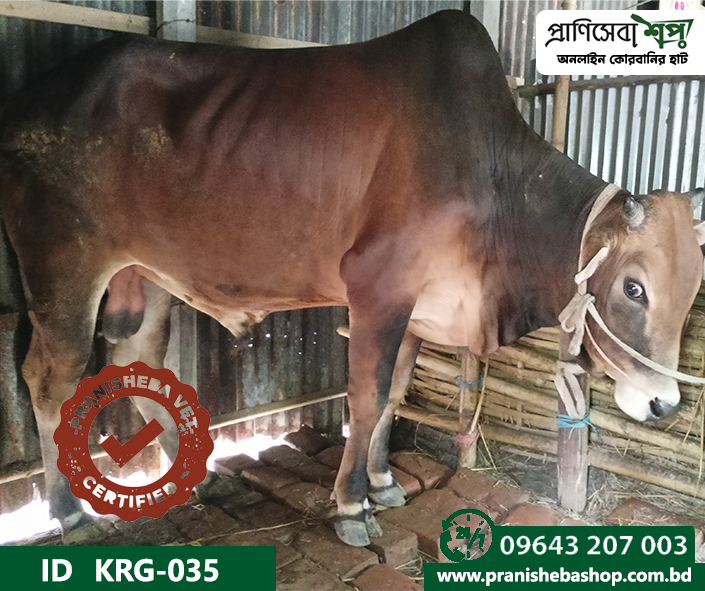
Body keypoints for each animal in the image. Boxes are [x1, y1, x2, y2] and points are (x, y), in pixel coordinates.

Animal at [1, 9, 704, 547]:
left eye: (692, 290)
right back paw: (70, 514)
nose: (665, 405)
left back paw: (194, 477)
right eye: (634, 287)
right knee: (50, 378)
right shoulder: (377, 292)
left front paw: (384, 483)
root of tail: (30, 99)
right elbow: (364, 399)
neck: (495, 185)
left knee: (135, 361)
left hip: (142, 278)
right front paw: (351, 506)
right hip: (64, 272)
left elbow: (394, 394)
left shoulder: (416, 308)